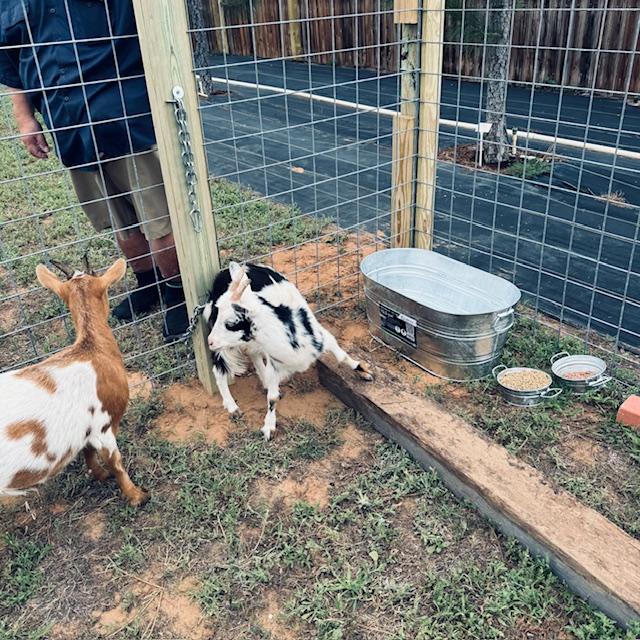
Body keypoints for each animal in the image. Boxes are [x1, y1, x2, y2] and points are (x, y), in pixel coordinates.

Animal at [0, 259, 147, 506]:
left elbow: (87, 452)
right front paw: (136, 496)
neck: (92, 349)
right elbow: (115, 462)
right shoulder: (103, 426)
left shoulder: (84, 431)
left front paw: (99, 475)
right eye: (106, 292)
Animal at [203, 261, 372, 440]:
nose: (210, 342)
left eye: (230, 323)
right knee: (219, 370)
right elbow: (272, 398)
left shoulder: (323, 338)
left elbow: (342, 356)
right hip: (226, 347)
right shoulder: (274, 363)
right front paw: (269, 427)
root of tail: (221, 275)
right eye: (218, 312)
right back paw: (232, 406)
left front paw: (364, 372)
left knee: (253, 355)